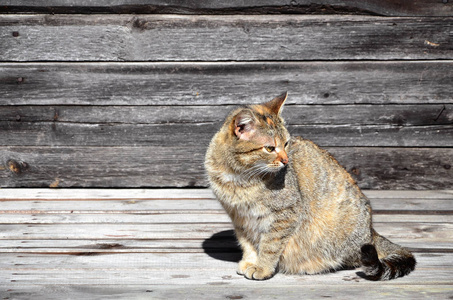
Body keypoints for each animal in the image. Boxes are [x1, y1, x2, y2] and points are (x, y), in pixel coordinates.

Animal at [203, 92, 414, 282]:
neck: (239, 176)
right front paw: (250, 261)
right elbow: (247, 244)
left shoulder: (285, 214)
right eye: (270, 148)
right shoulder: (240, 218)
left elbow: (270, 245)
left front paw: (262, 267)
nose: (286, 161)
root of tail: (371, 231)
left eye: (286, 144)